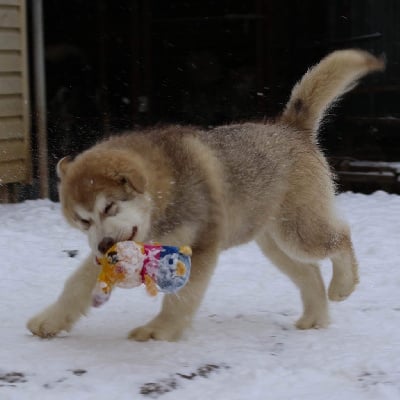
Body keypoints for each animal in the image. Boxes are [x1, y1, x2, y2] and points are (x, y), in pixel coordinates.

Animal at [27, 50, 384, 340]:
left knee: (341, 238)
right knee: (310, 273)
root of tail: (290, 128)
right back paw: (315, 318)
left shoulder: (199, 246)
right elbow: (76, 284)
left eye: (110, 207)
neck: (167, 191)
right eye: (83, 221)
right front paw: (50, 319)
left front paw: (159, 330)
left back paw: (343, 285)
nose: (103, 246)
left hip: (299, 231)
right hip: (274, 243)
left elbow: (181, 298)